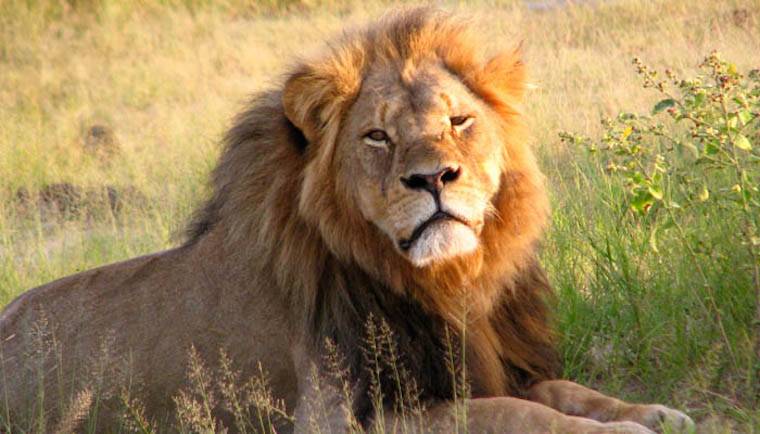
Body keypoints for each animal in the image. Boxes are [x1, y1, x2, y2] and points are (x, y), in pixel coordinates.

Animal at [0, 7, 693, 433]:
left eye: (458, 120)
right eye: (378, 137)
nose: (434, 178)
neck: (447, 283)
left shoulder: (479, 360)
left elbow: (564, 391)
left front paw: (652, 412)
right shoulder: (344, 415)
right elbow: (510, 414)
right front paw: (623, 429)